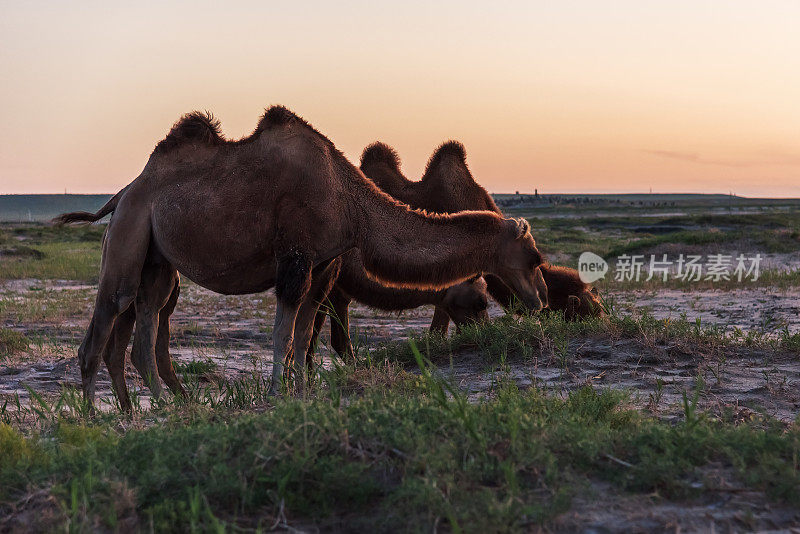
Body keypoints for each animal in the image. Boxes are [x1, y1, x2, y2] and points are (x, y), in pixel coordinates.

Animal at [64, 104, 544, 408]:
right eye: (534, 259)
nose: (539, 301)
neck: (350, 202)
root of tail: (123, 193)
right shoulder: (295, 257)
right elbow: (285, 333)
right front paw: (277, 393)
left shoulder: (324, 264)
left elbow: (304, 331)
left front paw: (301, 390)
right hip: (130, 232)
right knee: (107, 317)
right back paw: (95, 420)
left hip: (159, 258)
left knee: (147, 322)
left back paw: (164, 409)